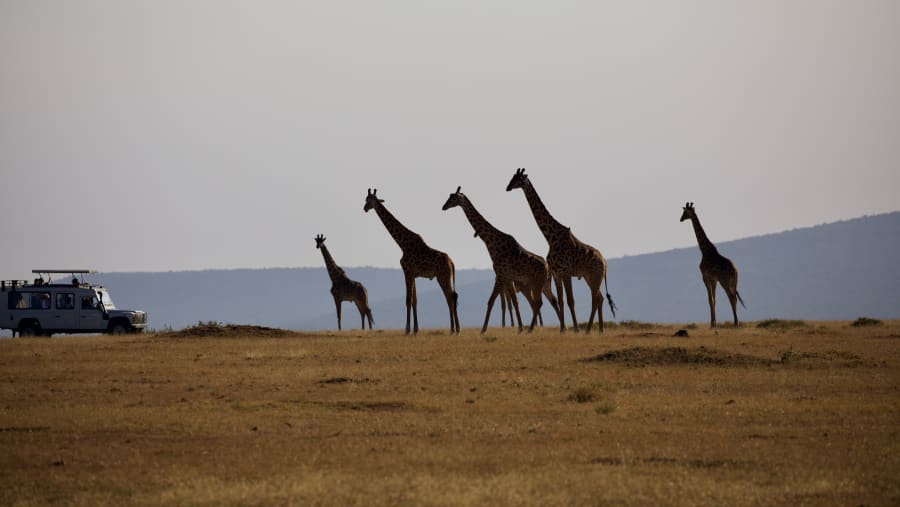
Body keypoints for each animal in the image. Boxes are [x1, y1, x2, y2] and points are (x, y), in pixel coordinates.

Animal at [364, 189, 460, 335]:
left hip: (442, 277)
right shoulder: (413, 275)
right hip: (444, 277)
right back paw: (455, 329)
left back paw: (454, 329)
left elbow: (408, 300)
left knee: (450, 297)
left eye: (369, 200)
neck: (402, 244)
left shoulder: (407, 271)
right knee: (452, 297)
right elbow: (415, 301)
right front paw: (415, 329)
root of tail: (452, 263)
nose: (364, 208)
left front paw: (407, 330)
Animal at [442, 186, 559, 333]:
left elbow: (493, 301)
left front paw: (484, 329)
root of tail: (548, 269)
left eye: (453, 198)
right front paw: (519, 328)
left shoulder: (501, 275)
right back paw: (561, 327)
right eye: (449, 196)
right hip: (541, 284)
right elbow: (512, 302)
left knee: (539, 303)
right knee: (549, 301)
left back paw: (534, 328)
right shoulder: (506, 277)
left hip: (537, 283)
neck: (491, 243)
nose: (443, 207)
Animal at [506, 168, 616, 333]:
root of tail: (605, 262)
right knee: (600, 298)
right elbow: (561, 301)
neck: (550, 238)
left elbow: (571, 301)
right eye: (512, 177)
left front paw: (575, 329)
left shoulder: (566, 272)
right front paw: (563, 329)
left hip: (595, 277)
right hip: (589, 277)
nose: (507, 187)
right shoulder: (556, 273)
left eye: (518, 179)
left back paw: (588, 330)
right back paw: (599, 329)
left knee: (596, 298)